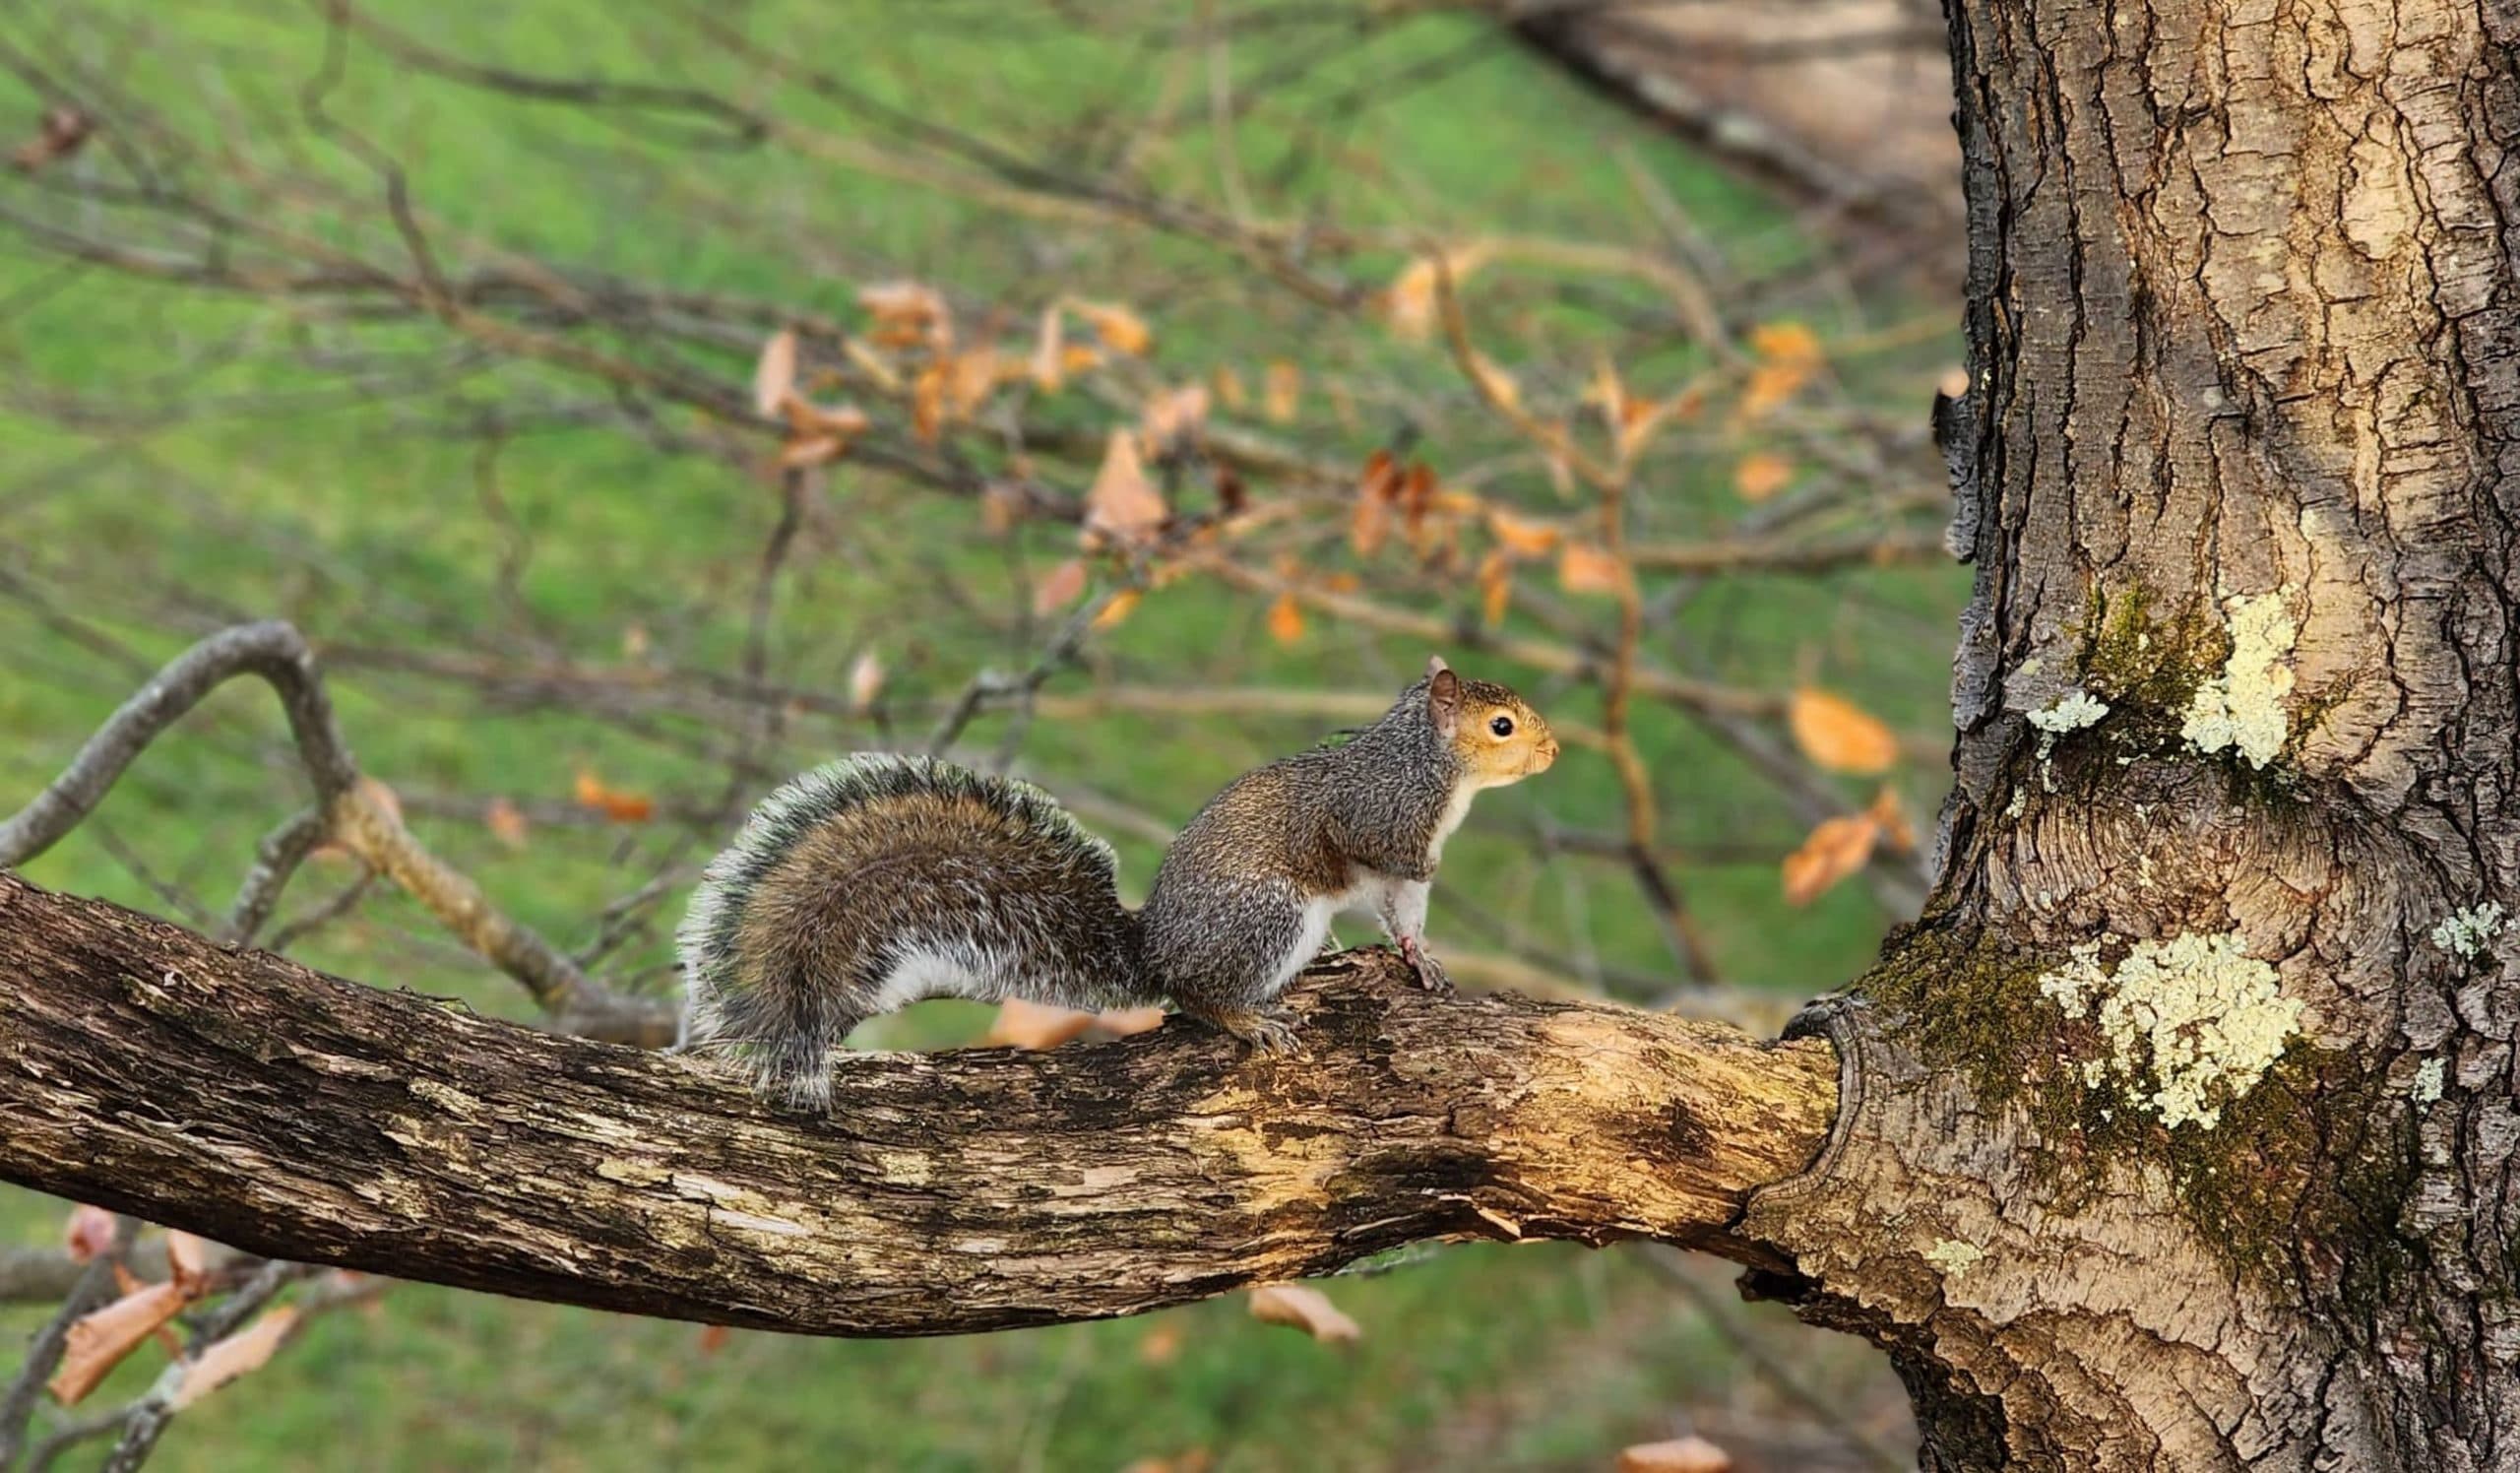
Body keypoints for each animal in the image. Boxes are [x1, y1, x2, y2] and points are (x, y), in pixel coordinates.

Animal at [675, 655, 1558, 1109]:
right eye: (1500, 726)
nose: (1552, 752)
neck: (1428, 765)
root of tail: (1156, 951)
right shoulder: (1381, 822)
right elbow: (1393, 872)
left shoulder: (1396, 868)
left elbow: (1402, 911)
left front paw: (1420, 958)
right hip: (1271, 916)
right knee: (1198, 998)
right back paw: (1249, 1018)